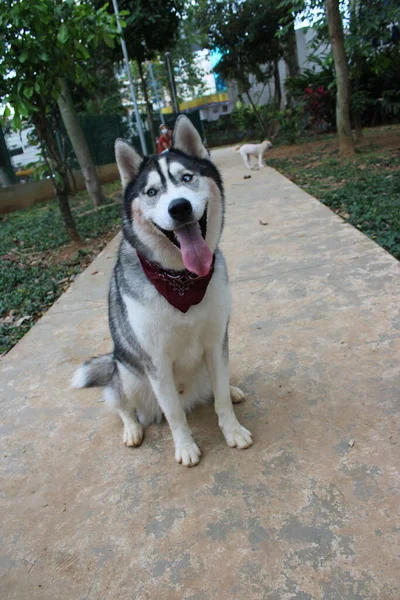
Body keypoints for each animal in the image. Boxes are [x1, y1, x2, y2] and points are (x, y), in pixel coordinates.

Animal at [72, 115, 252, 466]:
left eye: (187, 177)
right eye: (152, 191)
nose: (179, 207)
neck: (181, 279)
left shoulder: (215, 343)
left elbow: (221, 399)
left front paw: (232, 430)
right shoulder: (156, 361)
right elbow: (174, 414)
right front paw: (185, 447)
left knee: (216, 388)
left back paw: (232, 390)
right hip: (126, 372)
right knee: (121, 405)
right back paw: (132, 428)